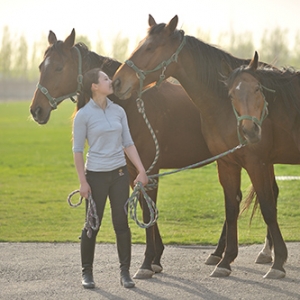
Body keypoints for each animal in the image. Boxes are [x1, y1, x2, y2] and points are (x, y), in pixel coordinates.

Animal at [29, 28, 213, 278]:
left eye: (58, 67)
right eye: (41, 66)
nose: (36, 110)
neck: (133, 105)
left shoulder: (150, 170)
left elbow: (146, 213)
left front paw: (147, 263)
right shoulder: (134, 170)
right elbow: (145, 208)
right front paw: (156, 258)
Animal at [112, 14, 300, 278]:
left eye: (150, 48)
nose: (117, 82)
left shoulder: (258, 162)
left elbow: (267, 207)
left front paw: (279, 262)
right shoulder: (228, 162)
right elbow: (231, 207)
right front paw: (225, 260)